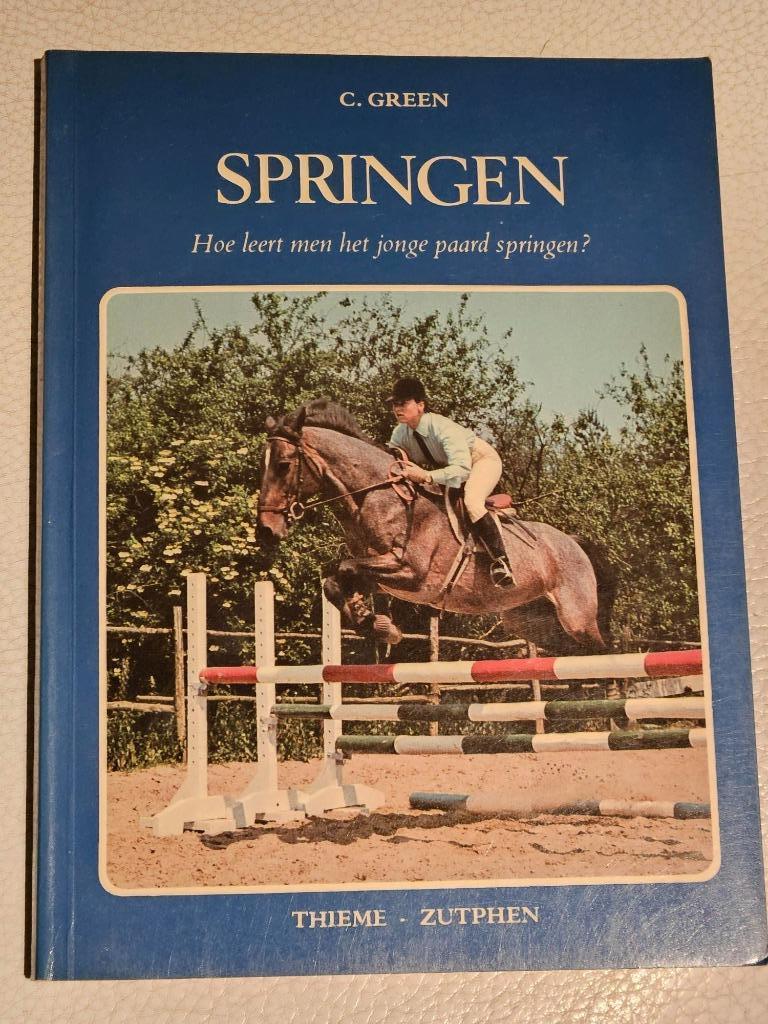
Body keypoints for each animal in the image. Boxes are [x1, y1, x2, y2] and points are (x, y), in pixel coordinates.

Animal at [257, 400, 616, 654]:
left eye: (283, 465)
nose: (265, 531)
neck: (376, 497)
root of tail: (575, 543)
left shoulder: (410, 573)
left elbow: (344, 568)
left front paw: (379, 626)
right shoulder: (380, 574)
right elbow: (334, 580)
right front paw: (374, 624)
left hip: (577, 618)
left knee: (597, 653)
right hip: (530, 619)